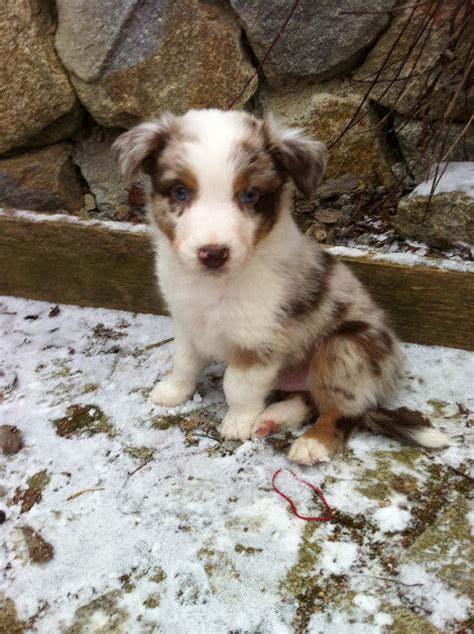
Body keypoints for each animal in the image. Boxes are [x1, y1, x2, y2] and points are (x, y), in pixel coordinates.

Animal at [114, 110, 448, 464]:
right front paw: (174, 391)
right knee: (307, 400)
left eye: (249, 195)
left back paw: (312, 443)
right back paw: (272, 418)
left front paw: (237, 422)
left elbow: (238, 385)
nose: (213, 254)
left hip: (345, 348)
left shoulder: (258, 340)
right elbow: (185, 362)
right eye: (180, 193)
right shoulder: (186, 320)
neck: (211, 284)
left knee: (341, 413)